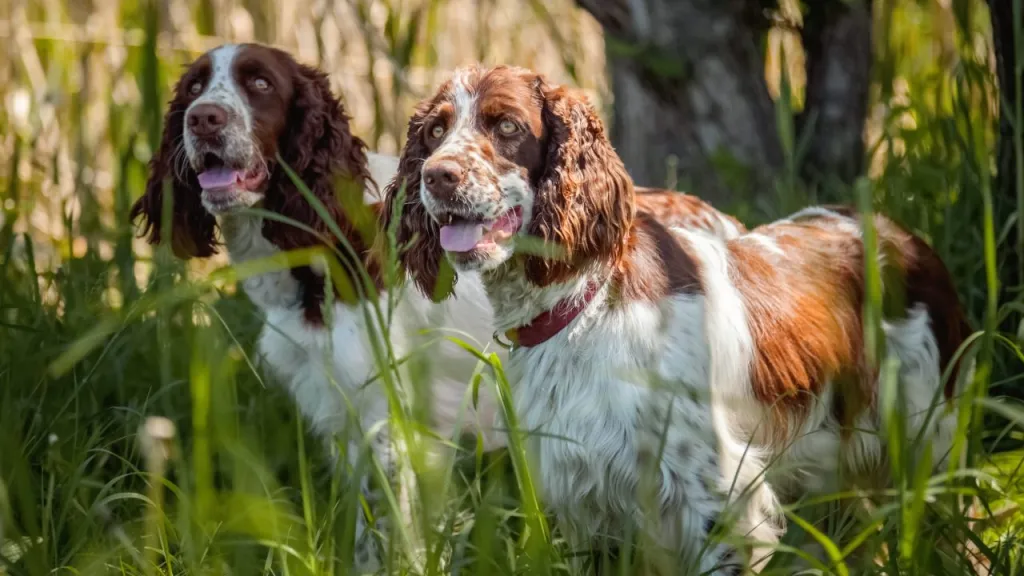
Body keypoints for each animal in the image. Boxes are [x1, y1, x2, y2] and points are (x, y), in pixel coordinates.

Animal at [382, 65, 966, 569]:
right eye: (435, 131)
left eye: (506, 125)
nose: (437, 176)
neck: (586, 305)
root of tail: (905, 236)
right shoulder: (585, 497)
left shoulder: (717, 499)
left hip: (926, 443)